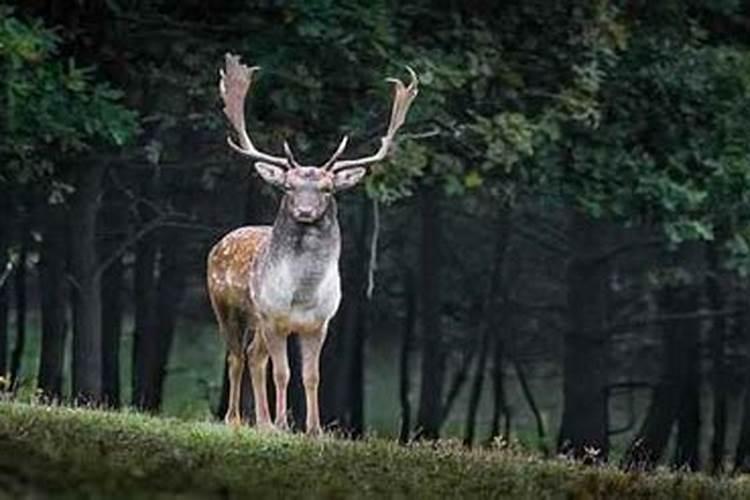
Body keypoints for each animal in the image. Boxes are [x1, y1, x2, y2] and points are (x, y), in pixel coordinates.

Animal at [207, 54, 418, 436]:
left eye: (327, 189)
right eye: (289, 187)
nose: (305, 211)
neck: (301, 294)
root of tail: (221, 242)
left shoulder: (319, 323)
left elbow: (311, 375)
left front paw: (314, 429)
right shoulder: (274, 317)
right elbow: (282, 372)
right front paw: (282, 424)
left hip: (257, 321)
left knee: (254, 355)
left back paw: (261, 422)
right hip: (227, 306)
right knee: (236, 355)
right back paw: (236, 419)